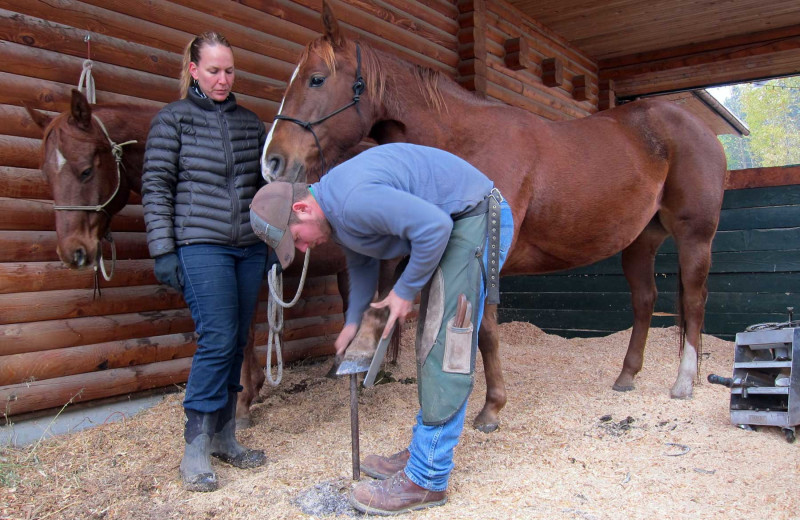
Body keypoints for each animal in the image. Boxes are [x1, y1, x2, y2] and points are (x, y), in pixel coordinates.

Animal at [260, 6, 724, 432]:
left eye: (316, 79)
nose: (272, 161)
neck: (463, 144)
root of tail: (698, 128)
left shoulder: (485, 252)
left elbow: (484, 330)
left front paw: (491, 408)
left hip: (695, 236)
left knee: (695, 300)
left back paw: (684, 382)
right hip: (640, 240)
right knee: (644, 300)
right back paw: (626, 375)